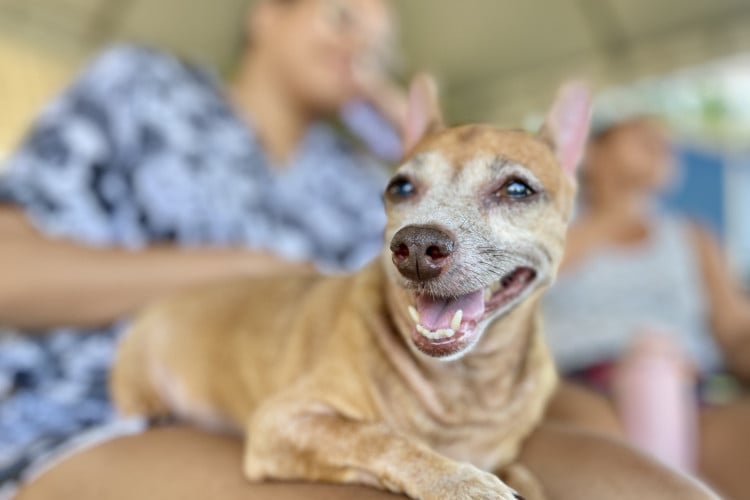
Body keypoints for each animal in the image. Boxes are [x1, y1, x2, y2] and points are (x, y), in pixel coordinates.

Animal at [110, 78, 592, 500]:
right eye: (400, 187)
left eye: (517, 189)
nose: (416, 247)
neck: (465, 383)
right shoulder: (282, 421)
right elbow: (381, 438)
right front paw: (459, 481)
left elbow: (525, 475)